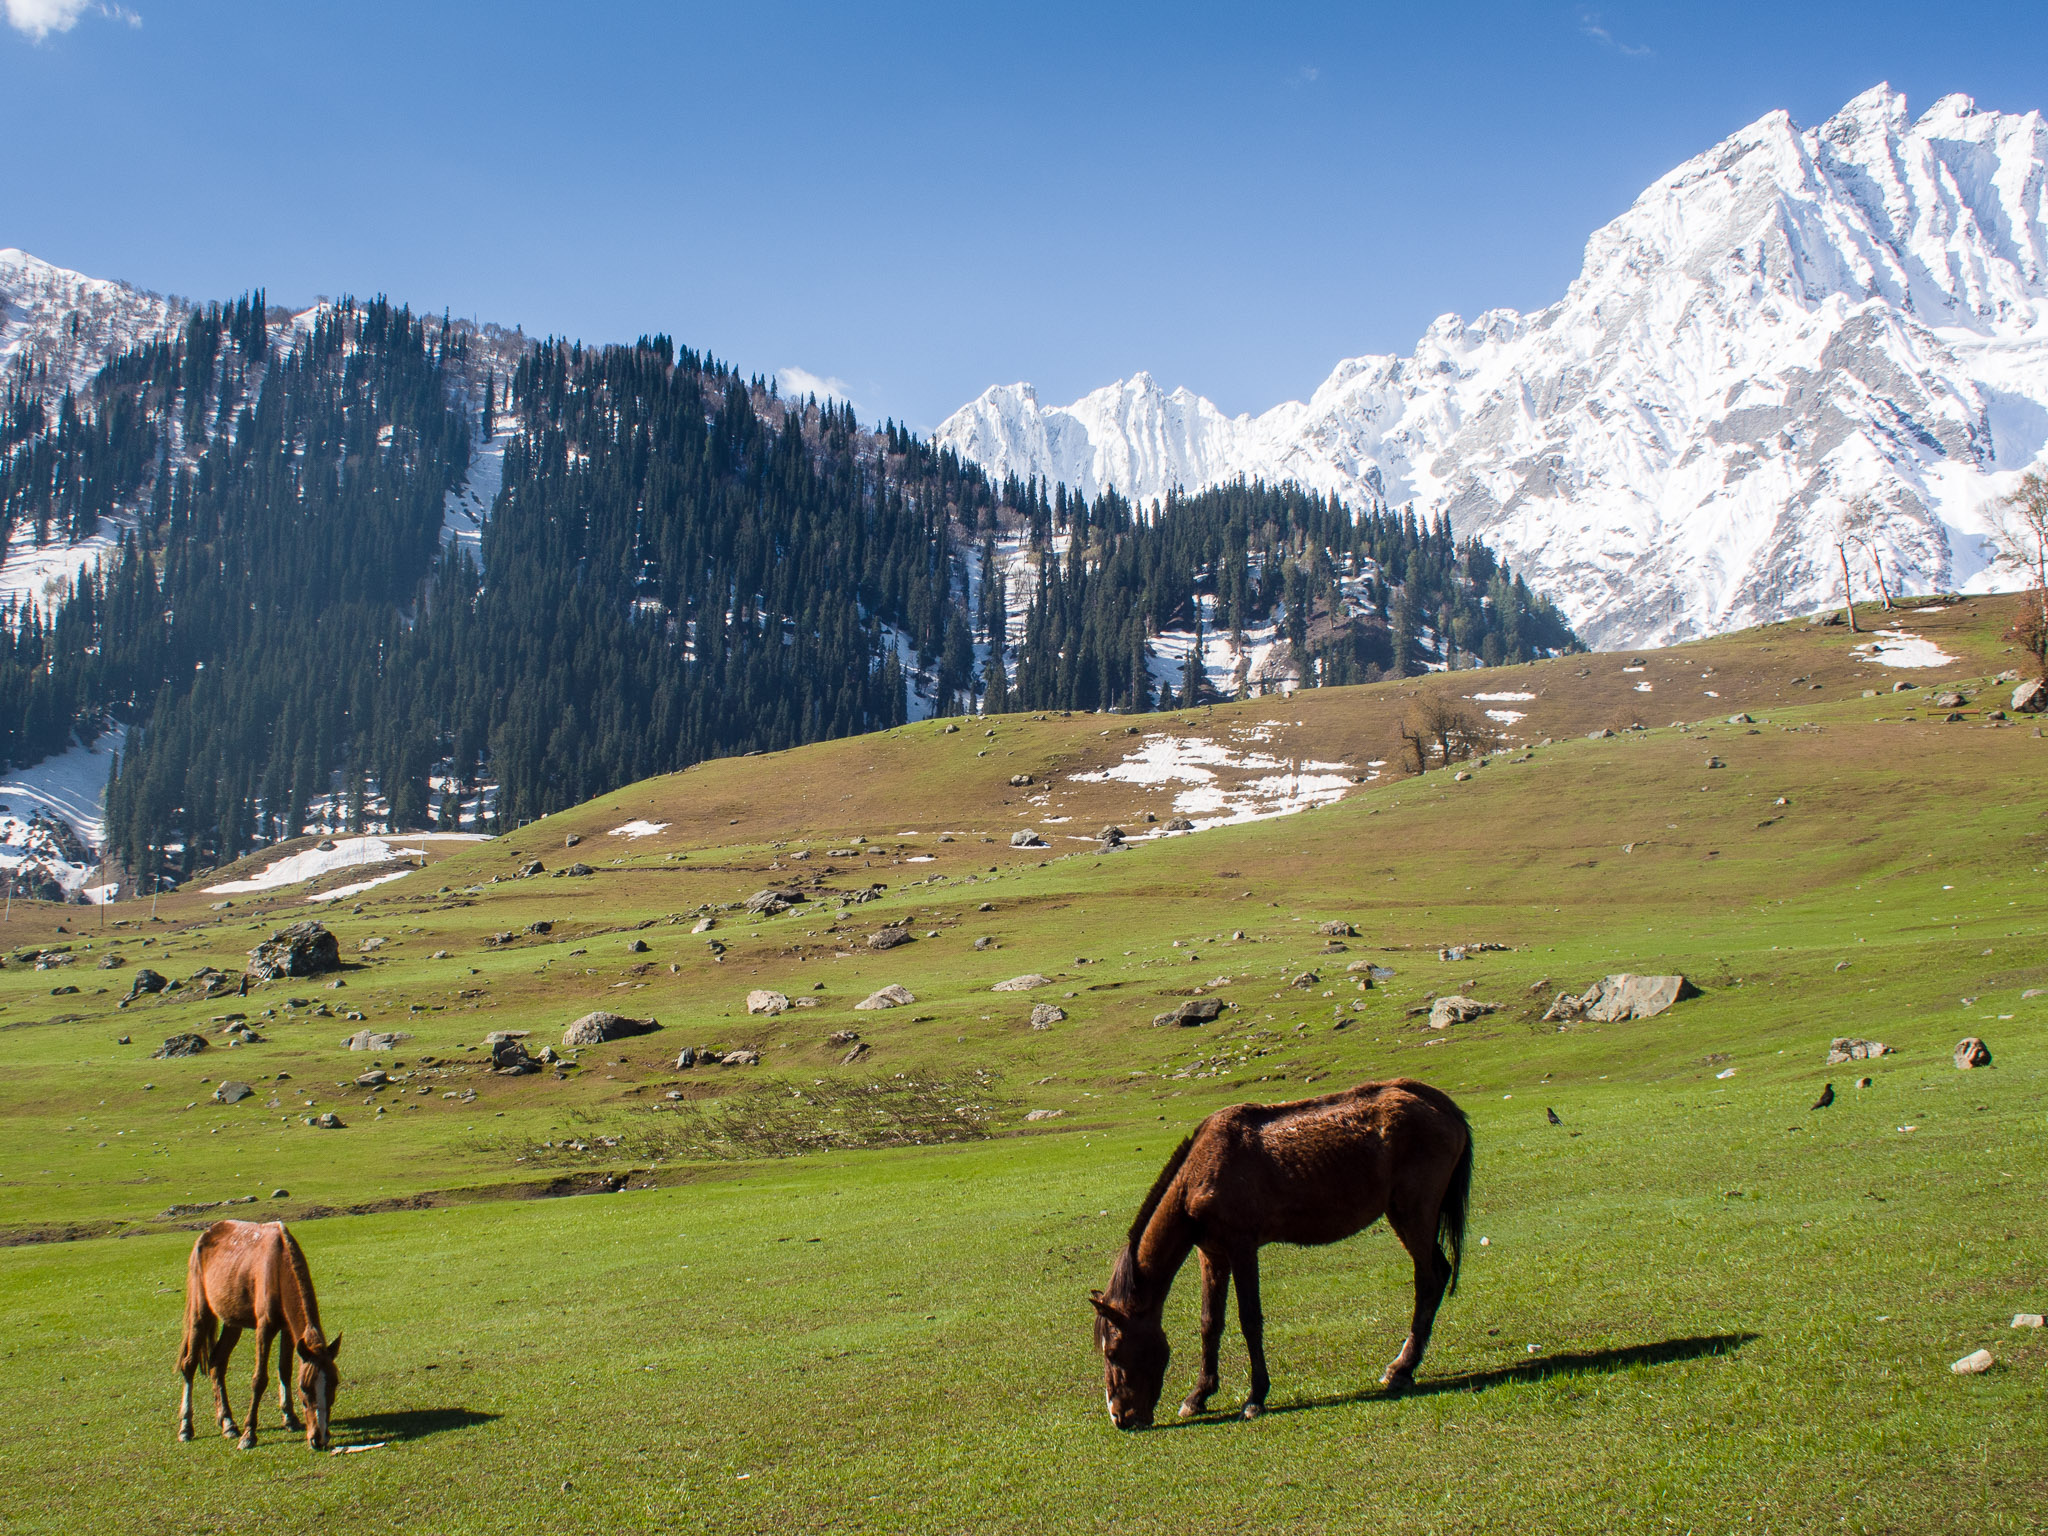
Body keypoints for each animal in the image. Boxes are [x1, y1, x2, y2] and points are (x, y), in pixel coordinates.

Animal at [178, 1220, 342, 1449]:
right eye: (304, 1388)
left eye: (334, 1384)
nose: (319, 1438)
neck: (279, 1267)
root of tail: (206, 1234)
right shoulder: (265, 1327)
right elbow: (259, 1379)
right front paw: (249, 1434)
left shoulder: (287, 1330)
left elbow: (284, 1370)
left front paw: (289, 1418)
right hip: (200, 1314)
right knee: (189, 1365)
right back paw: (186, 1427)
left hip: (232, 1322)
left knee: (217, 1363)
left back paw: (227, 1422)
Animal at [1097, 1081, 1466, 1433]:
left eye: (1113, 1352)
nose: (1119, 1417)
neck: (1201, 1172)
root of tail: (1441, 1104)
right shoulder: (1212, 1254)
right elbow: (1210, 1322)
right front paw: (1198, 1396)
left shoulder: (1242, 1247)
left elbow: (1250, 1320)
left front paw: (1255, 1398)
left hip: (1412, 1214)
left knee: (1430, 1279)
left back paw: (1401, 1369)